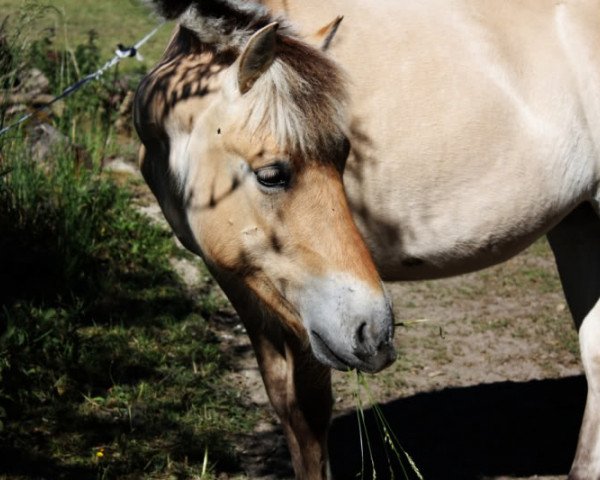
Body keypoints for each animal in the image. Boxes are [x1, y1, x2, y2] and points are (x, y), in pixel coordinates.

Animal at [134, 0, 600, 480]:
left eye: (344, 157)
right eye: (272, 174)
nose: (374, 332)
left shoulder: (305, 312)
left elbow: (312, 412)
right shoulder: (248, 284)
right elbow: (290, 409)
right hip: (579, 223)